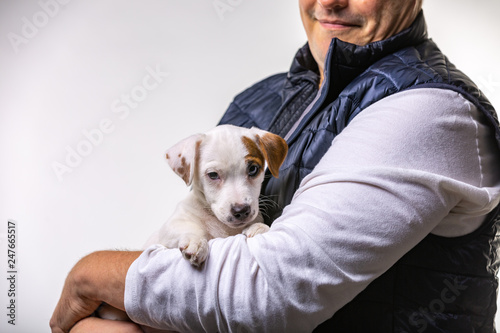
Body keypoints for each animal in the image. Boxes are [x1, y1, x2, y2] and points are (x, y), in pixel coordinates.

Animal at [145, 123, 288, 266]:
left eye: (253, 169)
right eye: (213, 175)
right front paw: (196, 241)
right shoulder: (168, 229)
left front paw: (259, 228)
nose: (241, 211)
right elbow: (190, 228)